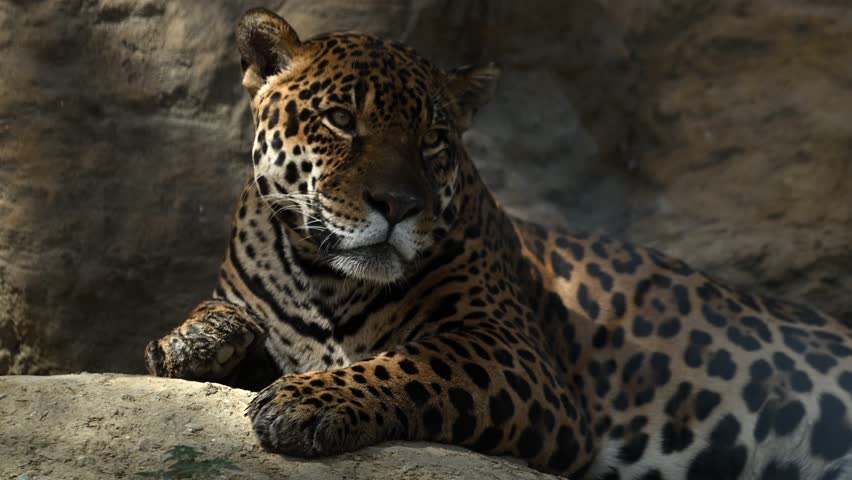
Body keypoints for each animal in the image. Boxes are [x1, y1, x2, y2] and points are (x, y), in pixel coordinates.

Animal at [145, 8, 852, 479]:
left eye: (434, 140)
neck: (327, 279)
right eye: (341, 120)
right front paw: (192, 339)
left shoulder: (512, 352)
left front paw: (306, 400)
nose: (398, 205)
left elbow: (409, 364)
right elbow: (220, 317)